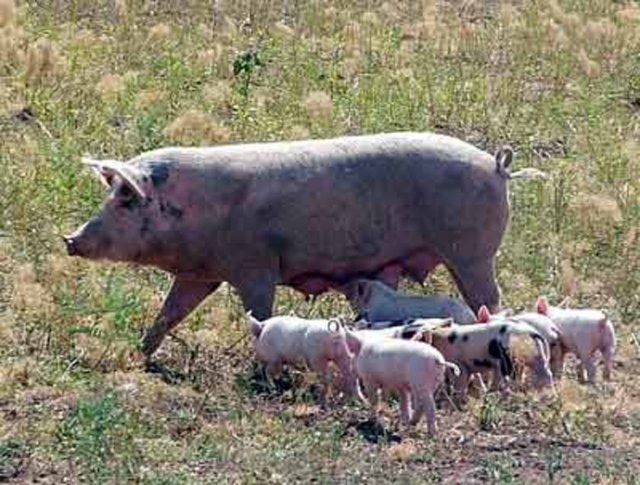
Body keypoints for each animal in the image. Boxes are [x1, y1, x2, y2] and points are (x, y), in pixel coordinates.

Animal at [62, 132, 544, 356]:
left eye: (126, 198)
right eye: (113, 193)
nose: (70, 239)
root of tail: (496, 167)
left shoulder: (256, 266)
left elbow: (259, 312)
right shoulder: (199, 275)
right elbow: (170, 313)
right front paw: (138, 354)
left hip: (472, 251)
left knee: (491, 301)